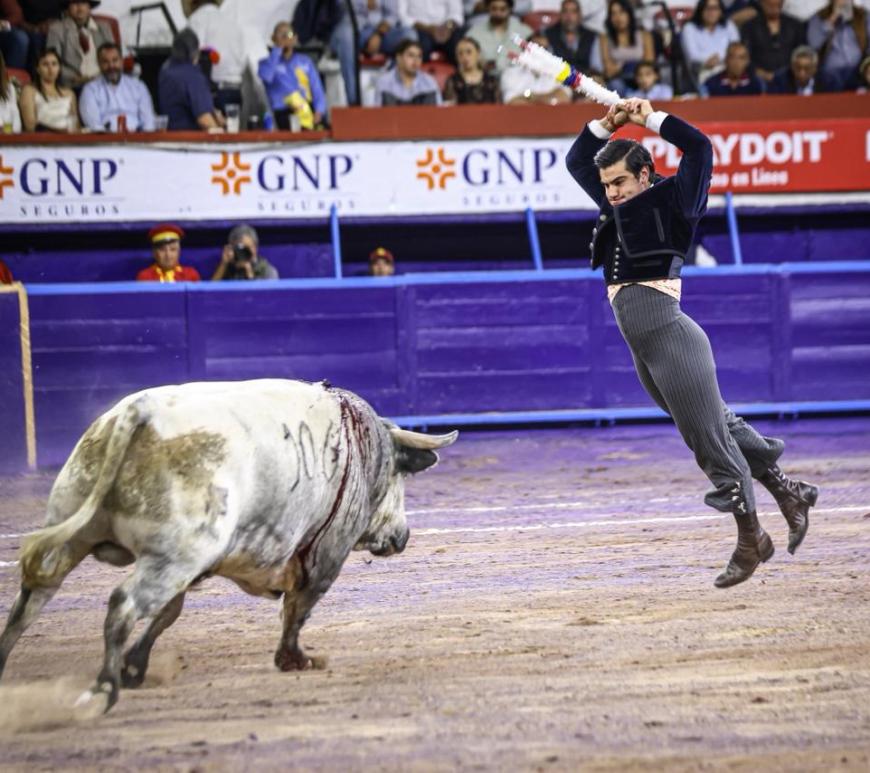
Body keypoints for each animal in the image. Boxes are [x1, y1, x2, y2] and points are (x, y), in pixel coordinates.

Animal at [0, 379, 457, 714]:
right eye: (400, 478)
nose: (402, 537)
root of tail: (138, 413)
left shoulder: (194, 567)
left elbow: (169, 614)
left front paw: (137, 666)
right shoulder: (325, 553)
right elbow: (298, 609)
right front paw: (295, 660)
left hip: (81, 534)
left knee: (29, 603)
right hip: (176, 554)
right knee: (122, 607)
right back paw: (102, 691)